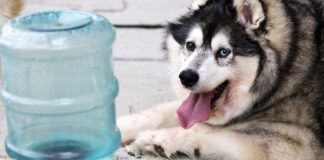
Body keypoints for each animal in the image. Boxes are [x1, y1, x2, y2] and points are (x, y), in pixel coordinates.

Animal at [117, 0, 324, 159]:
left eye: (224, 52)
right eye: (190, 45)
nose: (186, 77)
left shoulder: (300, 144)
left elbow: (212, 130)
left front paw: (161, 139)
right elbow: (157, 113)